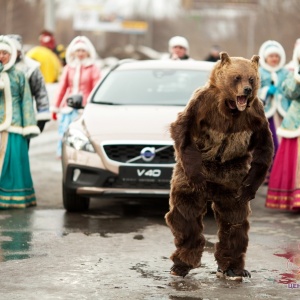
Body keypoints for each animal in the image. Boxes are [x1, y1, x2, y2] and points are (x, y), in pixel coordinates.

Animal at [165, 52, 276, 282]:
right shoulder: (202, 105)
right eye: (236, 77)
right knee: (185, 211)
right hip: (191, 174)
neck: (232, 108)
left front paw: (250, 189)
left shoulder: (256, 116)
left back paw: (233, 268)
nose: (247, 89)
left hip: (232, 177)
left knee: (234, 219)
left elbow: (264, 149)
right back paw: (181, 265)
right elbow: (184, 130)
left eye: (251, 78)